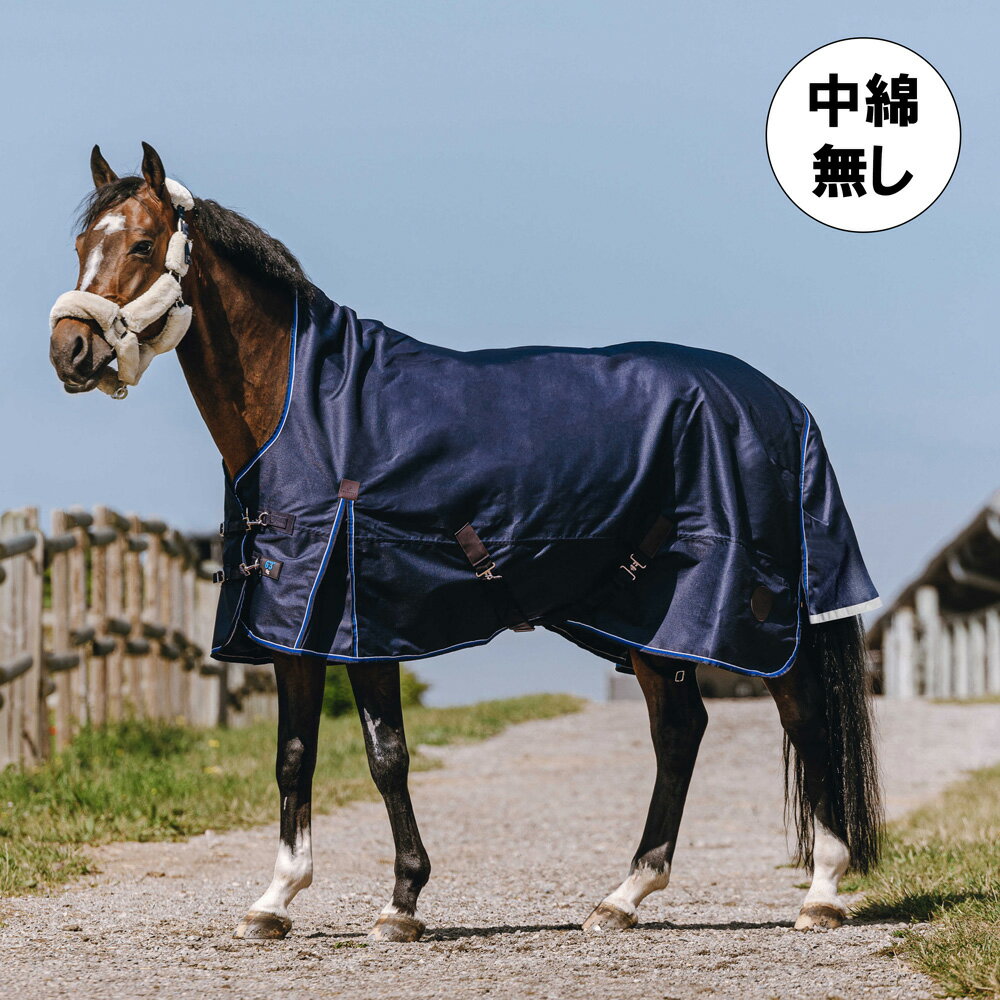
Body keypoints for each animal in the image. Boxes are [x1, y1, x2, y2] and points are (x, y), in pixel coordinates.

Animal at [48, 142, 883, 943]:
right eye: (84, 243)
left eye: (143, 243)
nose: (70, 351)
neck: (309, 410)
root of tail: (781, 404)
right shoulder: (295, 628)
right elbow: (294, 757)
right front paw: (275, 902)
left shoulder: (360, 620)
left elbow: (386, 759)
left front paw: (401, 904)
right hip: (651, 617)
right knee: (680, 732)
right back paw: (623, 898)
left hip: (755, 617)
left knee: (805, 720)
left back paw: (821, 894)